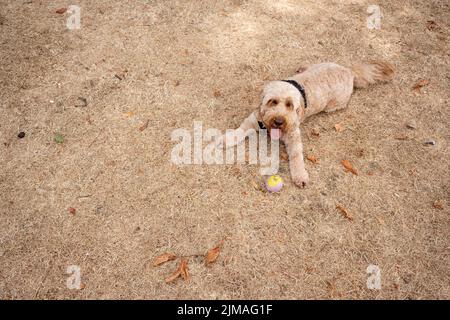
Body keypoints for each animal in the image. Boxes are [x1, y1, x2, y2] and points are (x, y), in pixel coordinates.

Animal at [216, 60, 396, 188]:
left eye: (290, 105)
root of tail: (349, 71)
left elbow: (297, 157)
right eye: (272, 101)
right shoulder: (254, 119)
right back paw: (303, 67)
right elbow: (239, 131)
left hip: (333, 105)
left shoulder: (293, 135)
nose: (279, 121)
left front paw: (300, 176)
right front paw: (226, 139)